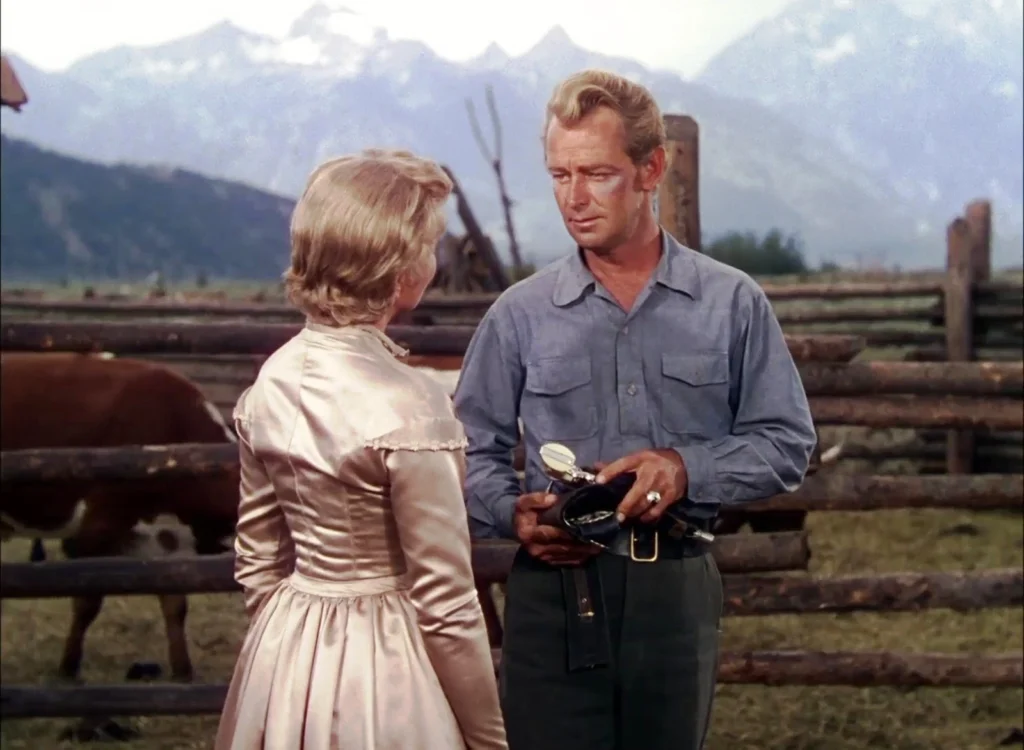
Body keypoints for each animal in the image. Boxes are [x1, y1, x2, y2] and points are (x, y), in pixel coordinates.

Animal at [0, 352, 240, 680]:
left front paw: (183, 672)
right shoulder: (95, 532)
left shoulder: (167, 538)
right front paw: (68, 668)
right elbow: (86, 600)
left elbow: (175, 603)